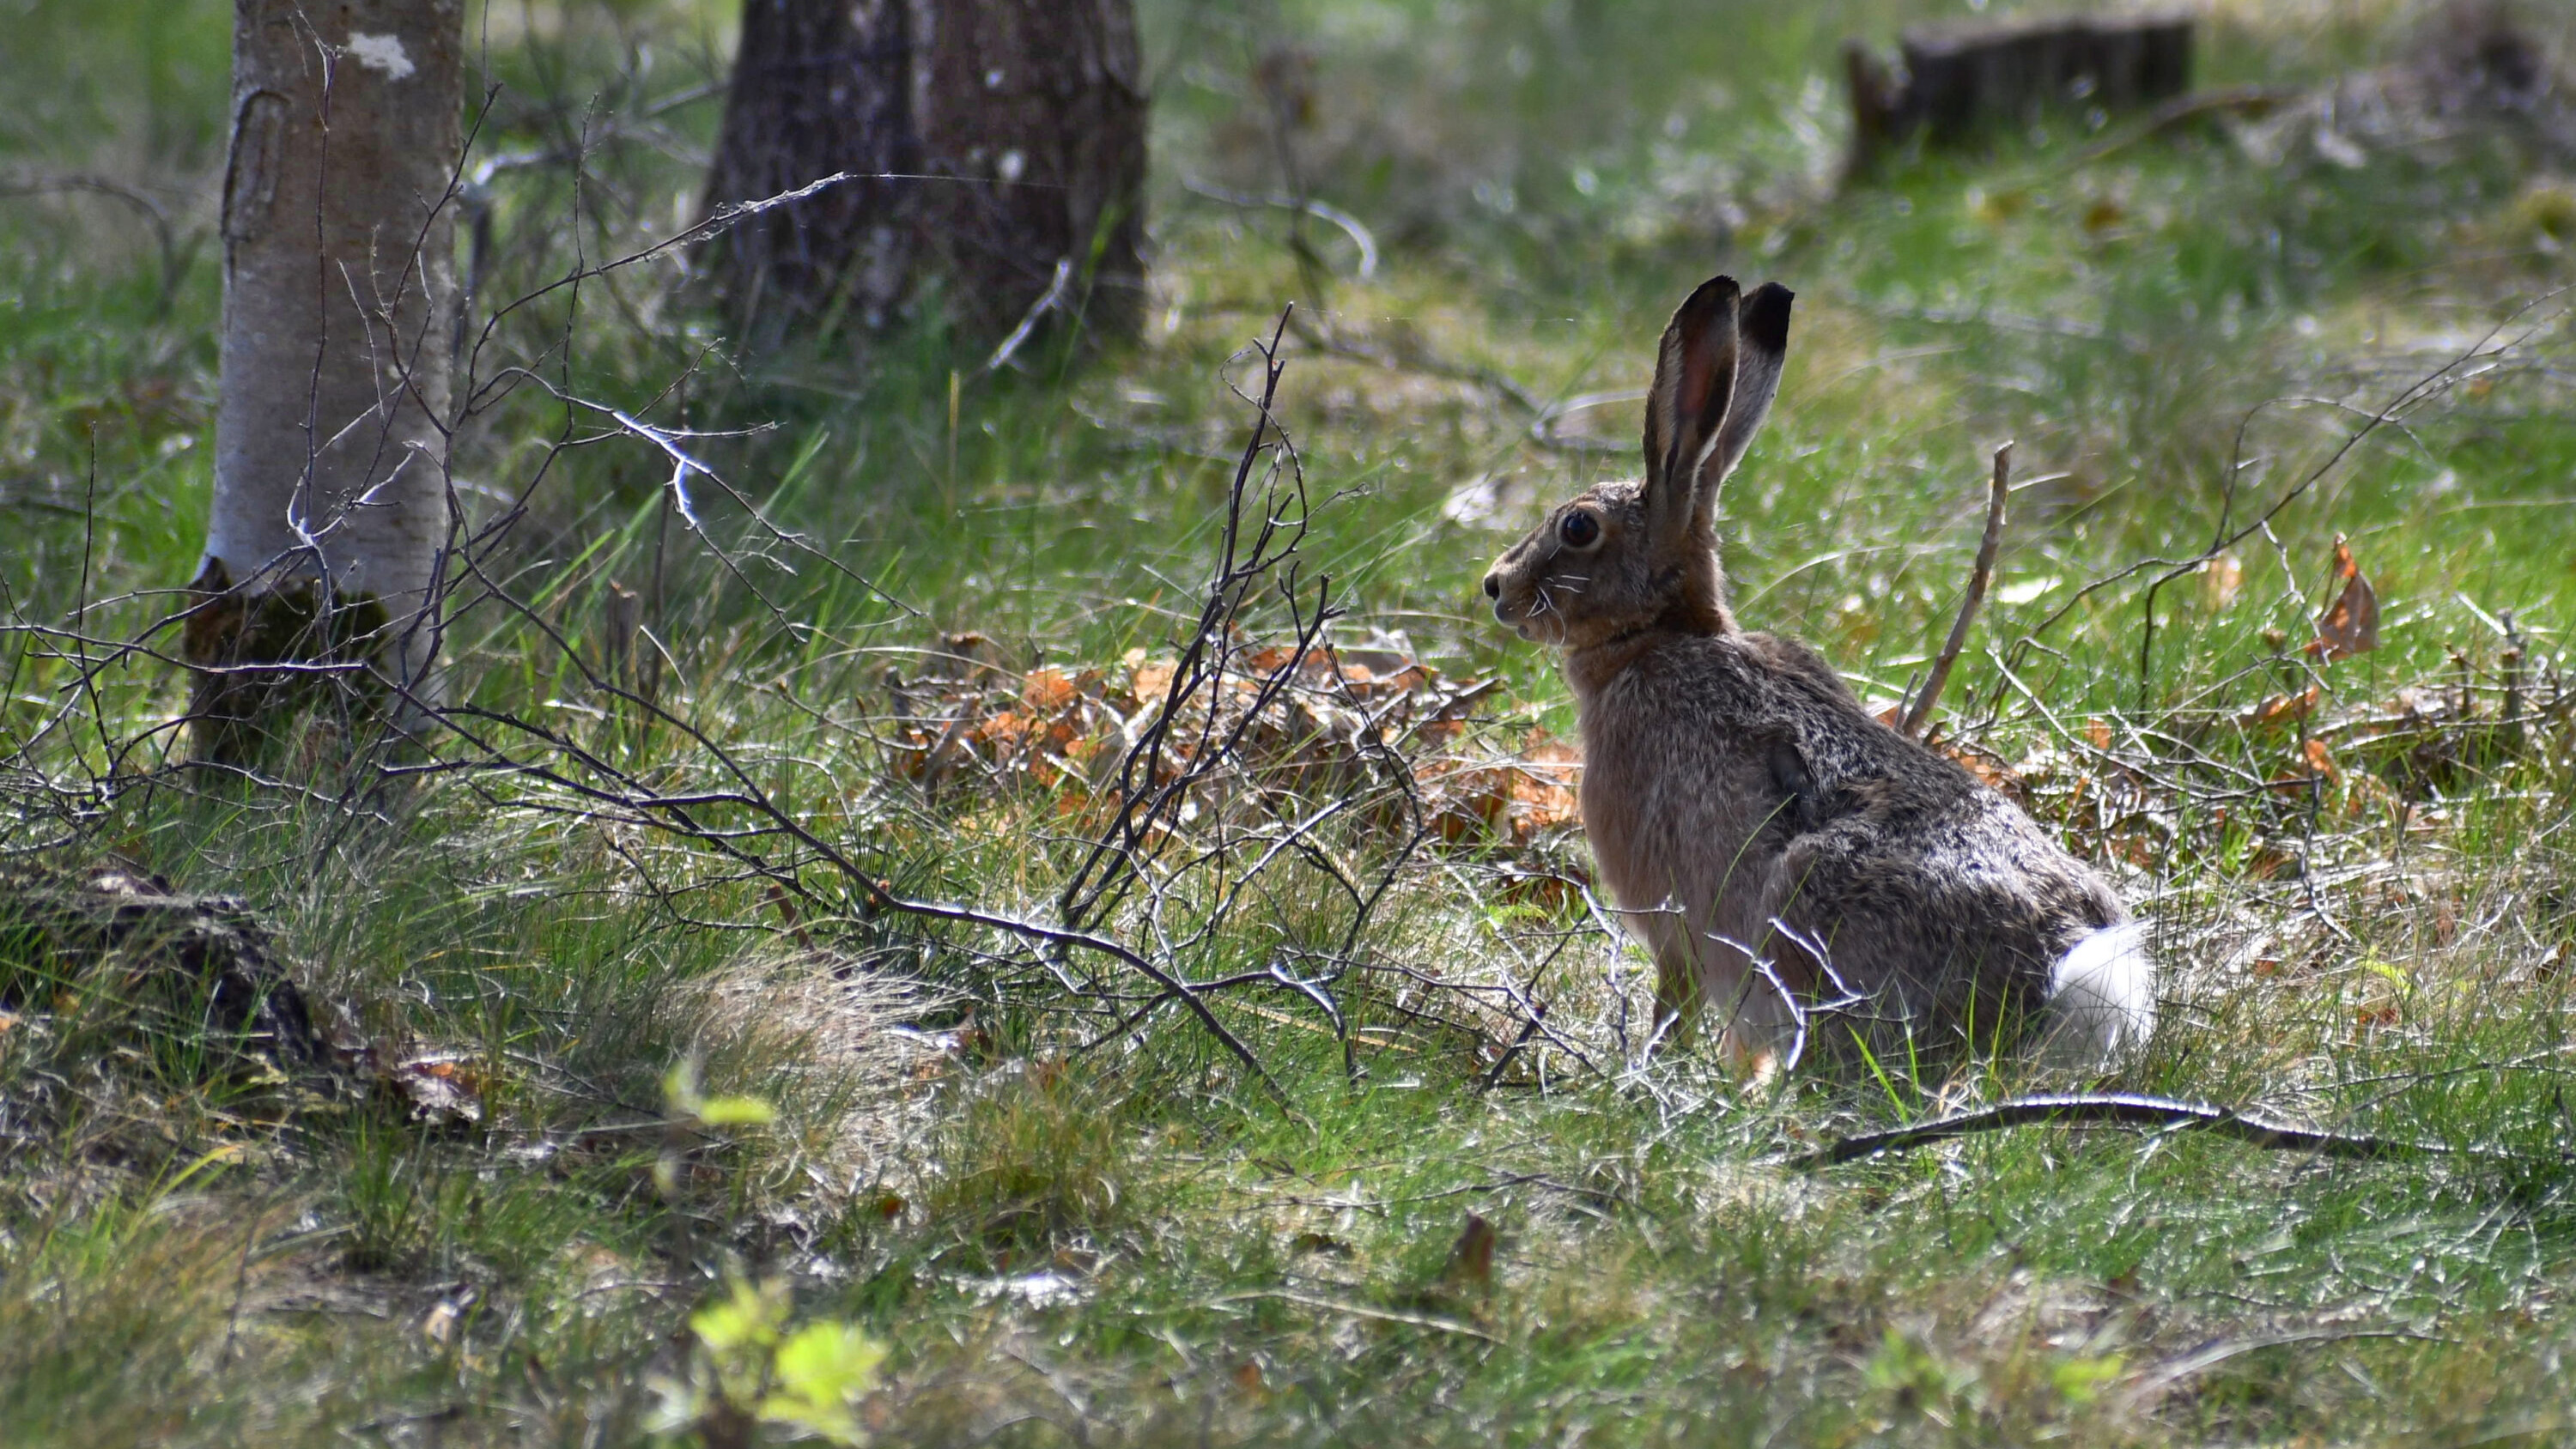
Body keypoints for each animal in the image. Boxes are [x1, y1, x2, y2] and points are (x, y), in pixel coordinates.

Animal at [1481, 275, 2153, 1068]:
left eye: (1578, 527)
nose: (1496, 586)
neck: (1659, 636)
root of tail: (2056, 986)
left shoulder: (1675, 924)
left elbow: (1673, 1008)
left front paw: (1642, 1072)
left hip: (1800, 916)